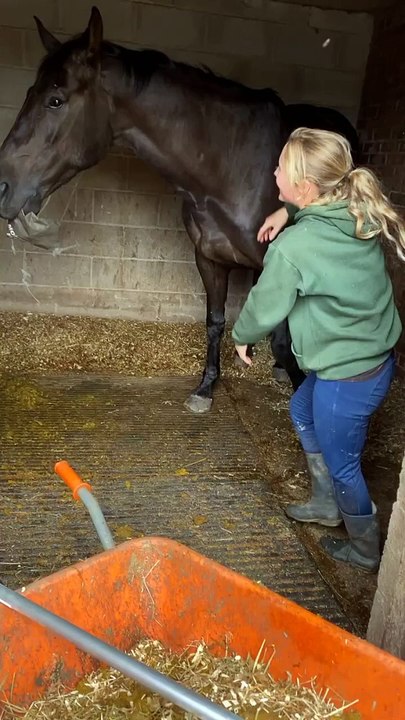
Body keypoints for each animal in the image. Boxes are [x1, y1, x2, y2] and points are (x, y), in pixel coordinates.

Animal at [0, 7, 358, 413]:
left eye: (56, 100)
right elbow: (215, 321)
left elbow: (284, 335)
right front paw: (206, 388)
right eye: (30, 93)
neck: (234, 167)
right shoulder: (208, 258)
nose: (3, 186)